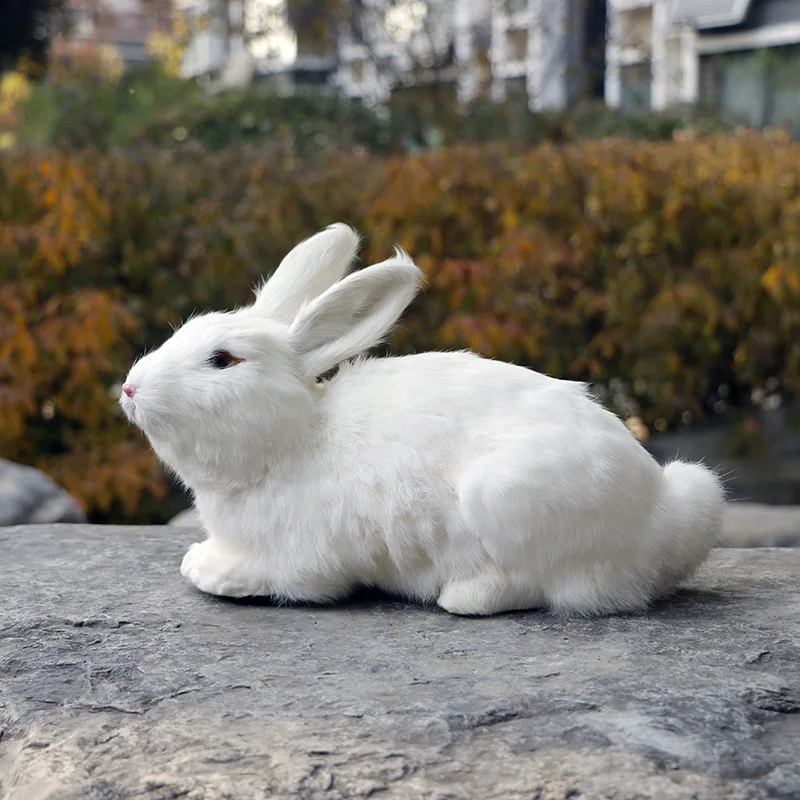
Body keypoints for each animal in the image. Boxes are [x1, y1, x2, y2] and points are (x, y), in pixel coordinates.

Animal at [120, 223, 724, 616]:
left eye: (223, 360)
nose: (129, 388)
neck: (293, 441)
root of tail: (661, 522)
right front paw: (199, 558)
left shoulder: (303, 561)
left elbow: (282, 578)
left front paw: (209, 571)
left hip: (503, 497)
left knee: (541, 588)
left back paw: (460, 595)